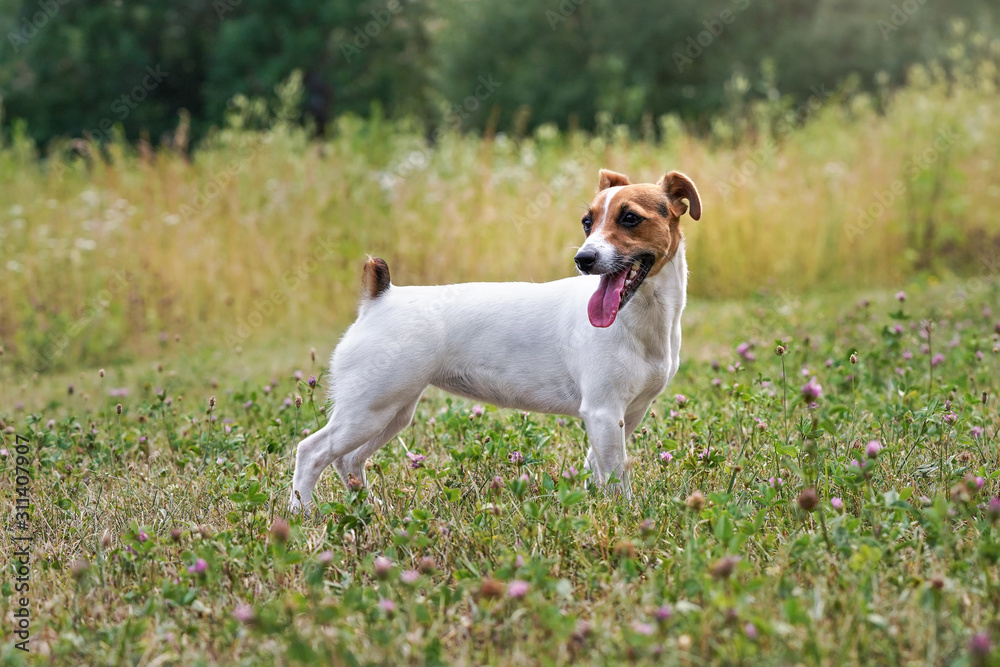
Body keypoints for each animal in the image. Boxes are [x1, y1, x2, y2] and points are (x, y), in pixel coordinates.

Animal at [286, 168, 700, 512]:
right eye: (588, 223)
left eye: (630, 218)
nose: (583, 259)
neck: (639, 319)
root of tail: (379, 297)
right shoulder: (602, 411)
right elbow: (615, 478)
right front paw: (623, 516)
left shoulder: (626, 414)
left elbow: (595, 467)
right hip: (369, 409)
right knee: (312, 452)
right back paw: (300, 513)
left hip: (391, 412)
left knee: (347, 459)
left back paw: (368, 509)